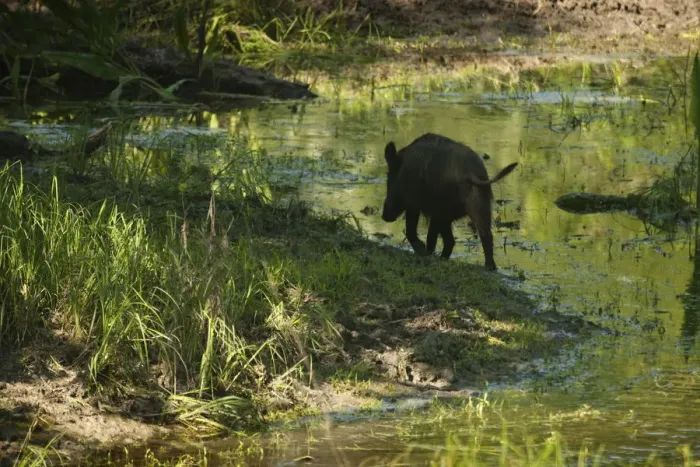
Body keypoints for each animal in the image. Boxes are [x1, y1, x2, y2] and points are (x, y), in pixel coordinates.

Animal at [381, 133, 518, 271]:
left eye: (389, 178)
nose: (384, 216)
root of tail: (469, 173)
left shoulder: (413, 203)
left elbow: (412, 231)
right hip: (477, 205)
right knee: (481, 236)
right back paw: (489, 267)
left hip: (441, 209)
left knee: (443, 238)